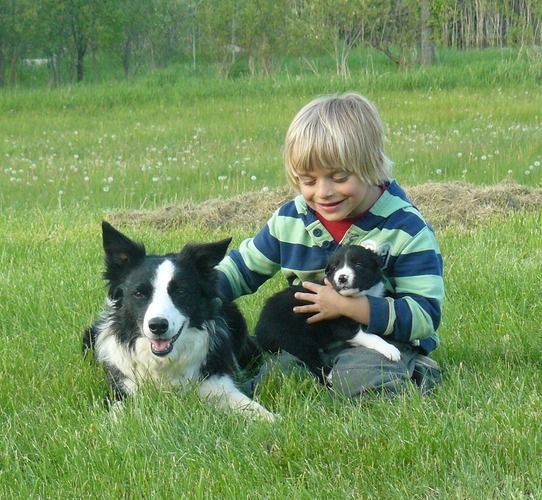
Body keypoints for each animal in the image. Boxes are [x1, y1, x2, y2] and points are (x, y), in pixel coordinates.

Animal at [83, 221, 274, 421]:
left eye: (180, 291)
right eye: (139, 293)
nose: (158, 326)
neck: (163, 363)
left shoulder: (218, 385)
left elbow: (257, 410)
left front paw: (274, 421)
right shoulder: (124, 389)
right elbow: (116, 413)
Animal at [255, 245, 401, 385]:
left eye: (358, 265)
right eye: (335, 267)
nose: (342, 278)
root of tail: (260, 329)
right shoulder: (340, 325)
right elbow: (371, 336)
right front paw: (390, 349)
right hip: (295, 338)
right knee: (310, 360)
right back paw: (329, 375)